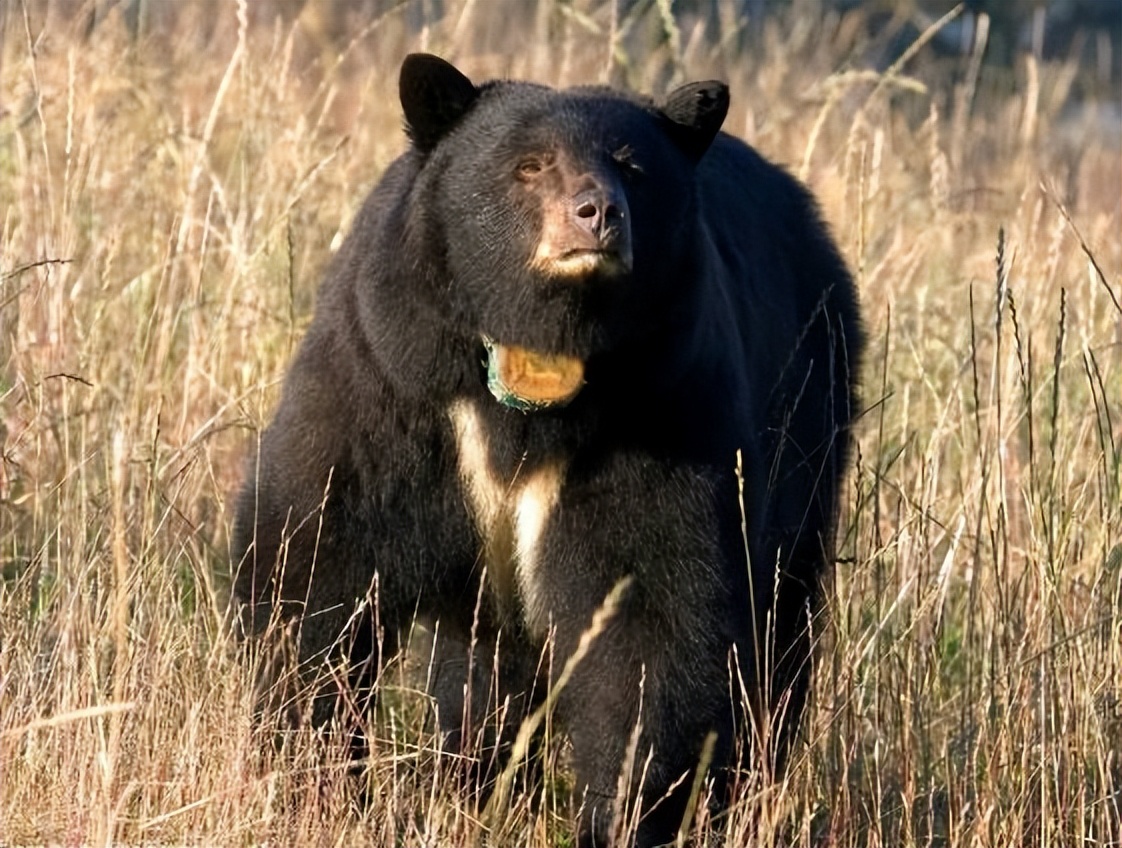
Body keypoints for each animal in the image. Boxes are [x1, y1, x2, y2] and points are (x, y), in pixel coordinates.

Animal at [232, 54, 861, 848]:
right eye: (529, 166)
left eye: (632, 166)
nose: (598, 213)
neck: (537, 363)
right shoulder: (390, 378)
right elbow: (320, 559)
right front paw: (312, 775)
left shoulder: (661, 405)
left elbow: (651, 617)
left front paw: (625, 813)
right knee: (481, 670)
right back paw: (473, 782)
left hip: (807, 430)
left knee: (778, 638)